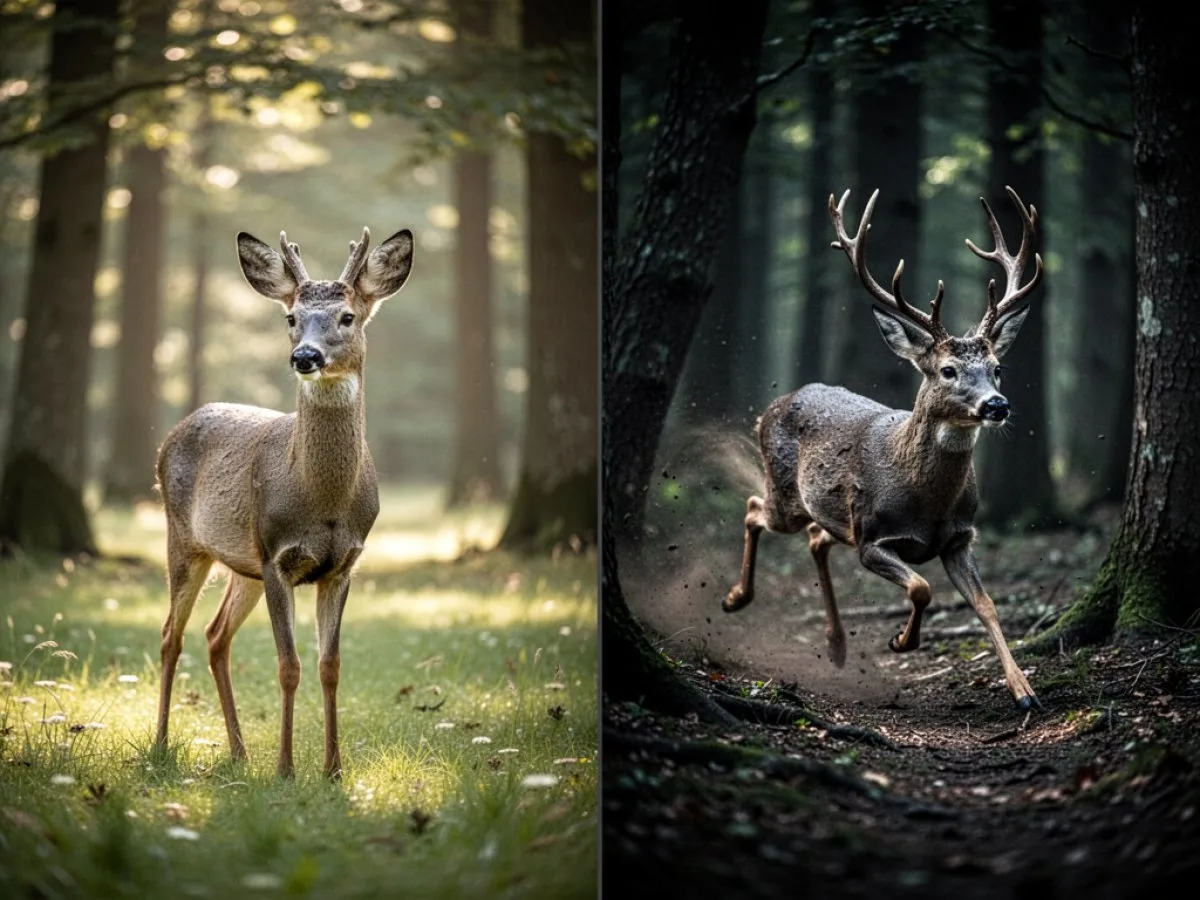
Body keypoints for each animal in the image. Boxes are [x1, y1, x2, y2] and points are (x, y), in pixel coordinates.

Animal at [152, 226, 414, 777]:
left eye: (347, 316)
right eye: (291, 317)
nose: (305, 357)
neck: (326, 502)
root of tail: (170, 437)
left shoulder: (342, 565)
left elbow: (329, 665)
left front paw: (333, 770)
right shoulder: (277, 556)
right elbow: (289, 666)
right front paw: (287, 769)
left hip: (242, 565)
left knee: (215, 636)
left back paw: (239, 751)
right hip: (185, 540)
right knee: (170, 635)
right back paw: (162, 743)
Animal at [723, 186, 1044, 710]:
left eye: (998, 368)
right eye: (947, 370)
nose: (997, 404)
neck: (928, 502)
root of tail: (773, 405)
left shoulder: (960, 537)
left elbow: (986, 604)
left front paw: (1024, 691)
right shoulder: (873, 537)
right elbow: (921, 587)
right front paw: (900, 640)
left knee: (815, 537)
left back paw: (836, 642)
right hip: (786, 496)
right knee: (754, 508)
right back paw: (735, 598)